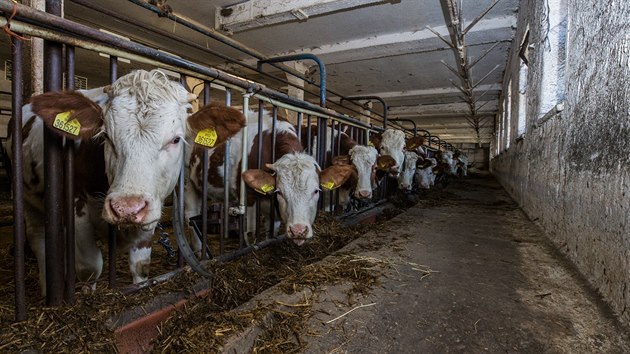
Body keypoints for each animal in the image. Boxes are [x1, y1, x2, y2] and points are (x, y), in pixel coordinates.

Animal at [9, 68, 244, 294]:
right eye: (105, 136)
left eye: (176, 139)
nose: (127, 208)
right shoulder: (77, 211)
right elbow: (90, 268)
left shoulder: (149, 218)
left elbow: (140, 266)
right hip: (29, 201)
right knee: (39, 240)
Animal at [186, 108, 356, 246]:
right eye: (280, 192)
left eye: (316, 191)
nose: (298, 231)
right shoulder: (248, 198)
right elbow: (250, 233)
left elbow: (271, 232)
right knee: (191, 217)